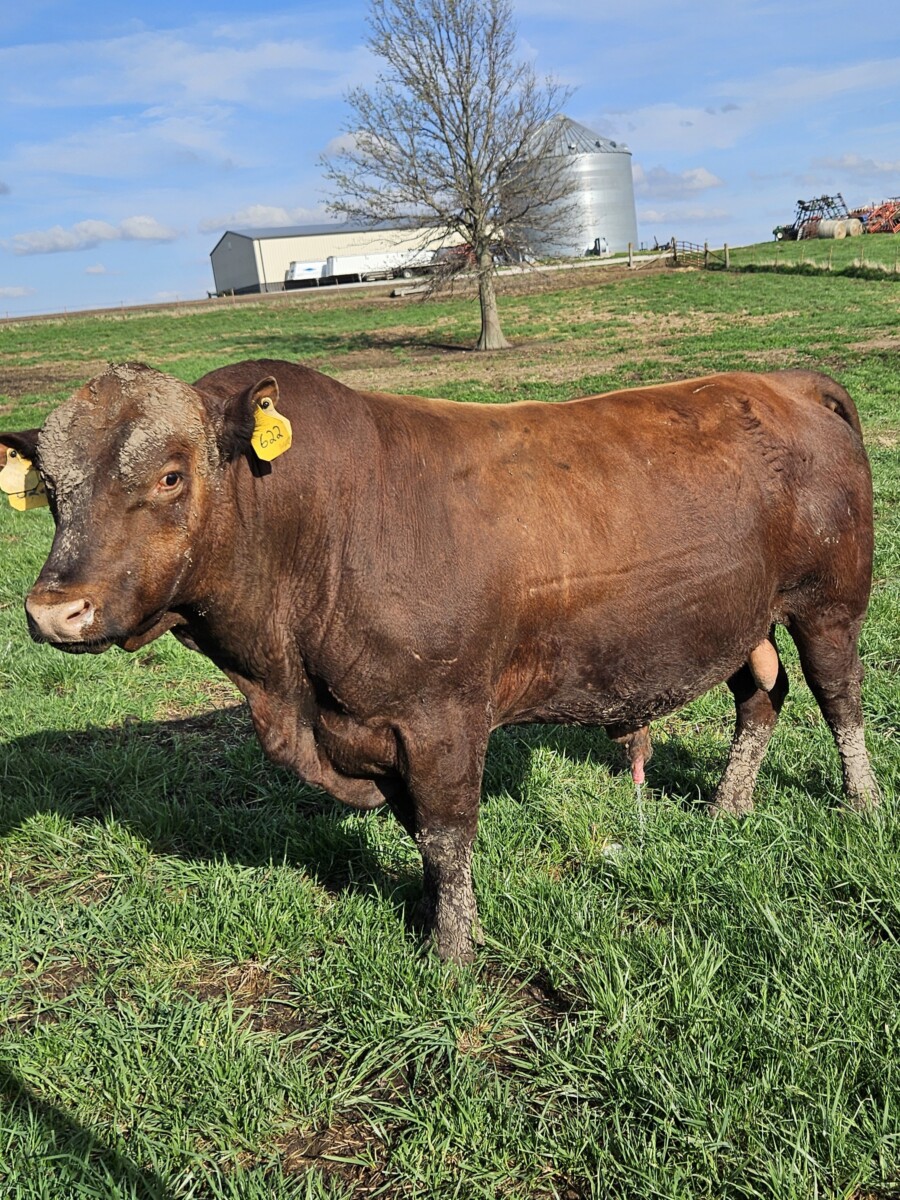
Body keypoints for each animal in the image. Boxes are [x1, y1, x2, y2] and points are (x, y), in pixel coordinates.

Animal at [0, 360, 879, 963]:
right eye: (52, 490)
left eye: (171, 476)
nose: (53, 610)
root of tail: (785, 380)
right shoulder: (370, 721)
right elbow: (419, 832)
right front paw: (430, 918)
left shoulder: (443, 716)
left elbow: (448, 834)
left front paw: (453, 950)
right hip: (736, 617)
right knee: (761, 697)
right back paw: (729, 806)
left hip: (829, 604)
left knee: (839, 699)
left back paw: (862, 802)